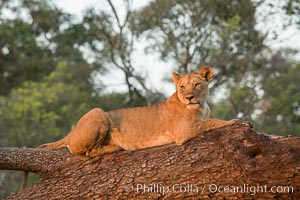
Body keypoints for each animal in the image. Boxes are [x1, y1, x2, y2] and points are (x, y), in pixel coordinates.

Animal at [38, 67, 237, 158]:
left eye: (196, 84)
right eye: (182, 87)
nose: (189, 97)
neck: (201, 106)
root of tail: (71, 132)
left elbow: (209, 120)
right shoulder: (183, 131)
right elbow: (211, 122)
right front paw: (233, 121)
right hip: (98, 111)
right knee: (86, 152)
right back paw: (119, 147)